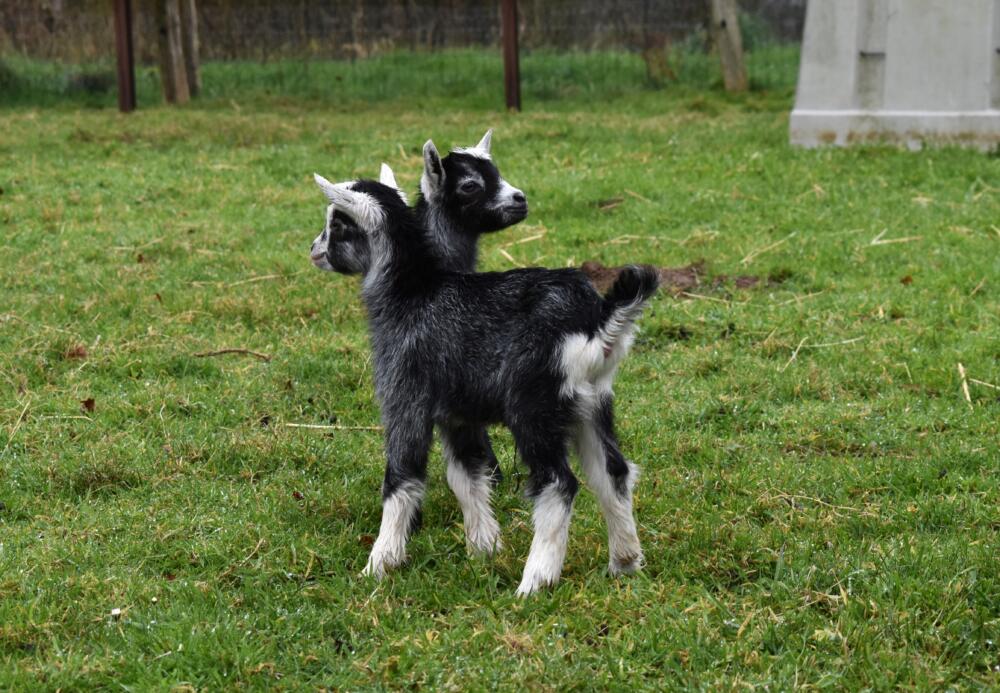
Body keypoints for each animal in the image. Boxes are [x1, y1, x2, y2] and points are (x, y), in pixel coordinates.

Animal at [310, 173, 656, 596]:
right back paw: (625, 562)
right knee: (613, 473)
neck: (412, 292)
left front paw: (378, 564)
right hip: (592, 404)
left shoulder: (405, 397)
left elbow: (402, 476)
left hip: (533, 407)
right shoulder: (457, 415)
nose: (314, 250)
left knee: (558, 483)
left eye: (338, 224)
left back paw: (535, 580)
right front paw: (484, 547)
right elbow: (466, 476)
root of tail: (595, 320)